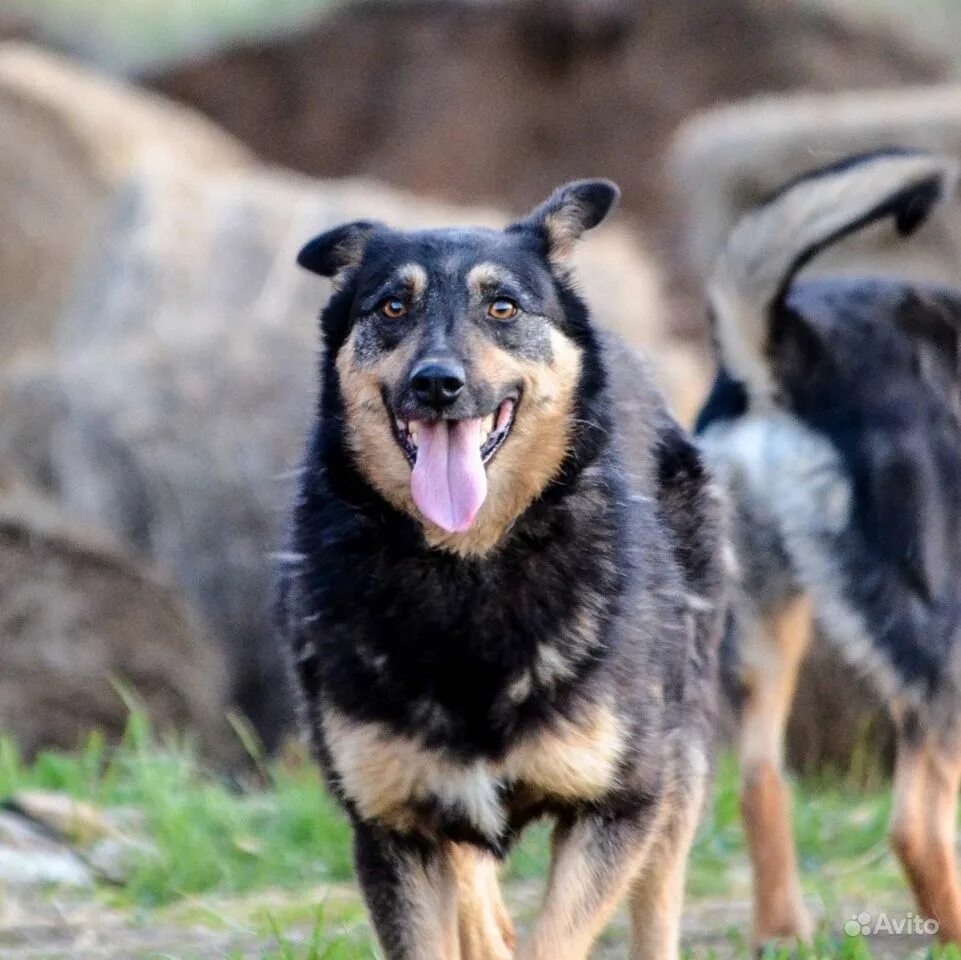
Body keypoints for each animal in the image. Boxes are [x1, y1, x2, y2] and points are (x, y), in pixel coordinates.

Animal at [278, 182, 728, 960]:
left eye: (503, 307)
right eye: (391, 307)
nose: (437, 385)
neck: (468, 571)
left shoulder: (618, 803)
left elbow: (561, 937)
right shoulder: (392, 825)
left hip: (680, 754)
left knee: (658, 897)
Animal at [692, 150, 960, 944]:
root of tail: (789, 343)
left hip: (765, 624)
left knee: (757, 777)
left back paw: (782, 935)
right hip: (935, 630)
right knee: (915, 825)